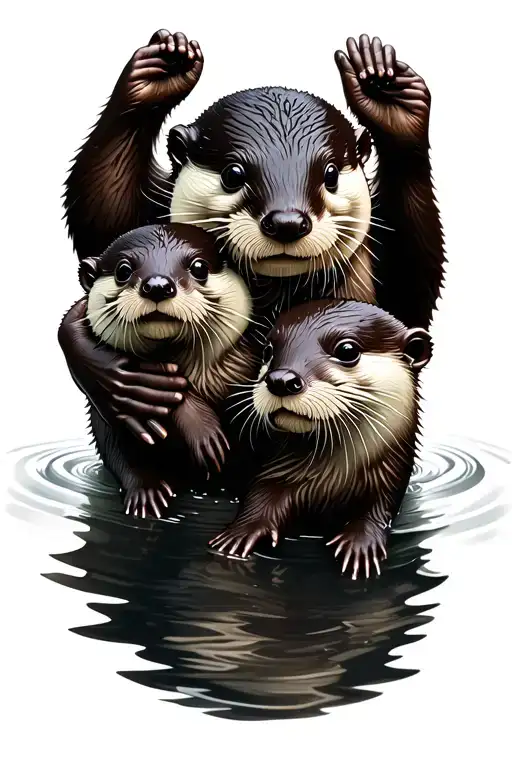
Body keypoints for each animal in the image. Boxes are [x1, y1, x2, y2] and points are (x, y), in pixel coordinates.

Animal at [58, 30, 444, 444]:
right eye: (233, 173)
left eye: (330, 174)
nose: (288, 221)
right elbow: (103, 223)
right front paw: (158, 69)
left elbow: (409, 295)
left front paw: (387, 89)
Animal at [78, 223, 257, 518]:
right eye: (123, 270)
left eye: (199, 268)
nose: (158, 286)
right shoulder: (102, 417)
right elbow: (121, 452)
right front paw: (202, 431)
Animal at [209, 300, 432, 579]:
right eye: (268, 351)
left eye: (347, 350)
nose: (280, 380)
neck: (333, 479)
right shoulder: (277, 470)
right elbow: (261, 496)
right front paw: (240, 533)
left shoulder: (391, 474)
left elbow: (378, 508)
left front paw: (361, 543)